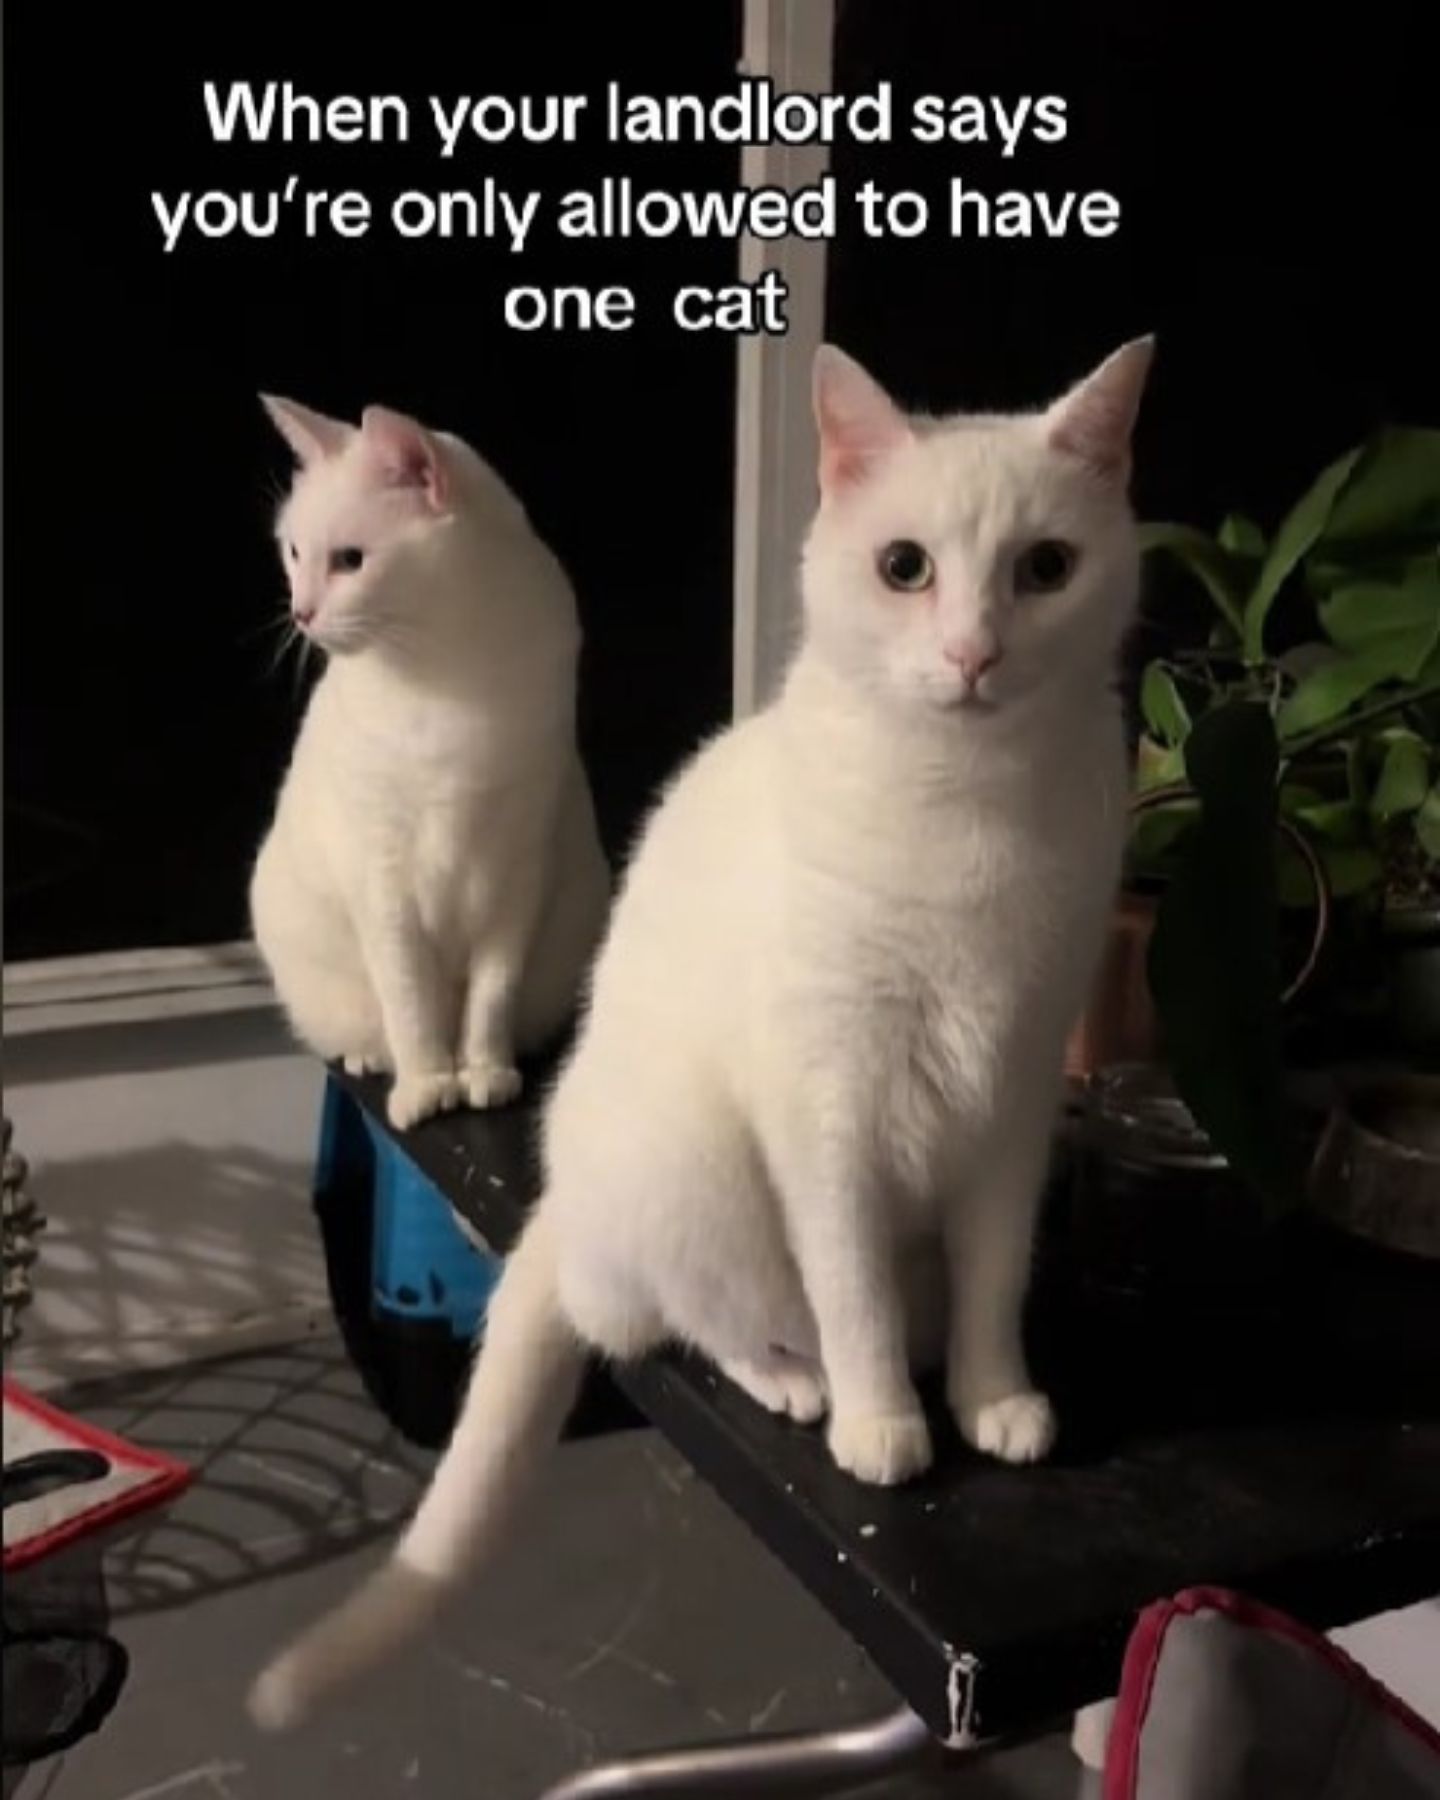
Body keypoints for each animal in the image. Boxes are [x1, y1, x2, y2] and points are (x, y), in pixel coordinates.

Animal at [248, 397, 608, 1123]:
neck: (440, 673)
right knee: (374, 1026)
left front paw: (484, 1073)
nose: (301, 613)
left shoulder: (516, 874)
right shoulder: (382, 880)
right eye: (293, 552)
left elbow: (490, 999)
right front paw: (428, 1086)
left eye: (350, 561)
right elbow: (412, 1004)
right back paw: (375, 1061)